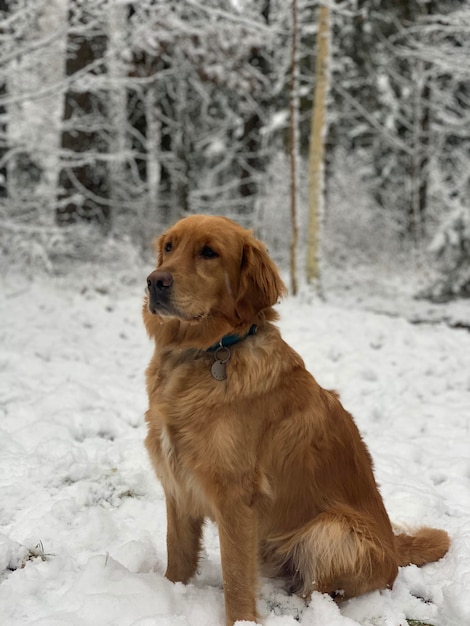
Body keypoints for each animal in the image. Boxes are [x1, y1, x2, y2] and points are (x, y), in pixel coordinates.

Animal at [142, 214, 448, 624]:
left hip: (331, 533)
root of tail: (395, 551)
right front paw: (171, 594)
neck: (206, 353)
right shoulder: (176, 483)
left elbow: (236, 578)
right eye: (169, 247)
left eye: (209, 252)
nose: (154, 281)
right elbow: (178, 554)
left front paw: (241, 620)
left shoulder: (236, 495)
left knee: (319, 592)